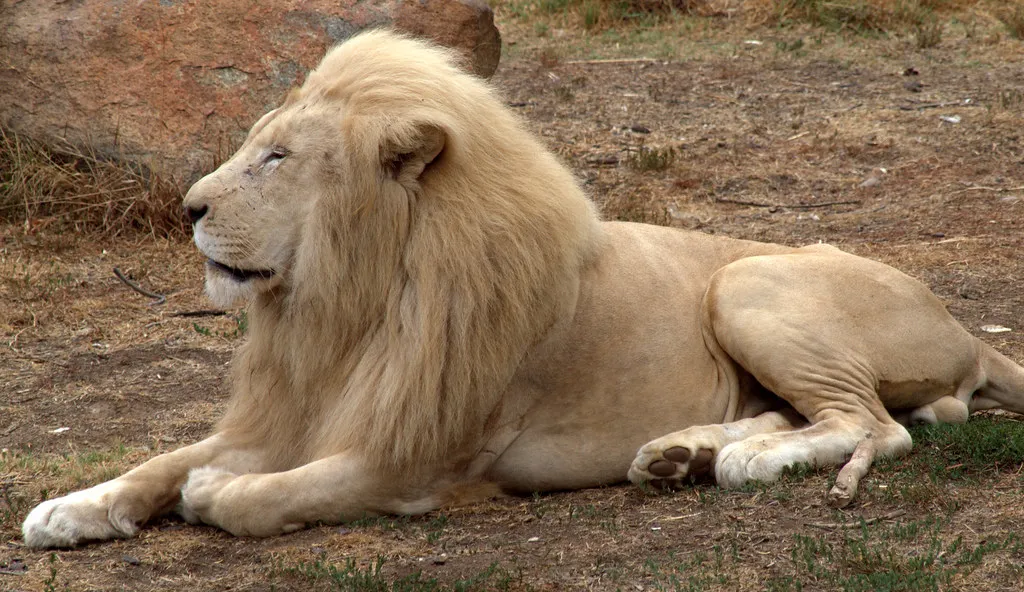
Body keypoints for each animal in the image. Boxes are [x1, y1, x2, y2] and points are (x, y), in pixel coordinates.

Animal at [23, 30, 1024, 548]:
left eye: (276, 157)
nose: (187, 207)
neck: (343, 306)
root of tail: (966, 330)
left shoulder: (419, 456)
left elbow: (257, 496)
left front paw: (214, 495)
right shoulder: (294, 408)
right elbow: (162, 460)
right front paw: (71, 507)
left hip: (751, 279)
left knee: (879, 426)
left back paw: (744, 464)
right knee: (817, 415)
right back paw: (684, 454)